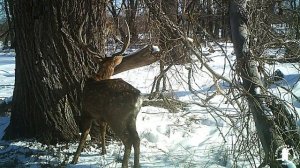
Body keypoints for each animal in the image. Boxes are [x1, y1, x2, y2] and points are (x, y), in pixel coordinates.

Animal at [72, 20, 143, 167]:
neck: (97, 77)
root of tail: (138, 99)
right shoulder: (102, 117)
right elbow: (102, 130)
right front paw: (103, 151)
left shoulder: (87, 111)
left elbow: (84, 134)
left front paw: (74, 158)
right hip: (132, 118)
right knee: (136, 139)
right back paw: (136, 164)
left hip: (116, 117)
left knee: (128, 141)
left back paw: (124, 164)